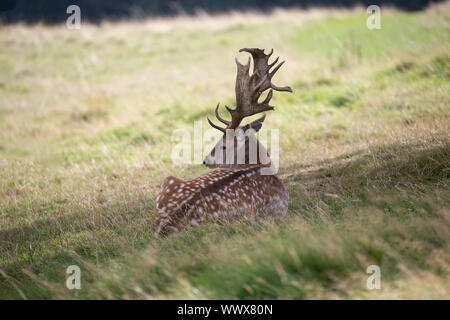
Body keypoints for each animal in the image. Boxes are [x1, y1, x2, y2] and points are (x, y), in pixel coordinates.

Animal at [153, 48, 294, 238]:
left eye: (224, 144)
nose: (205, 160)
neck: (263, 165)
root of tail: (166, 227)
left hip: (169, 181)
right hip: (242, 220)